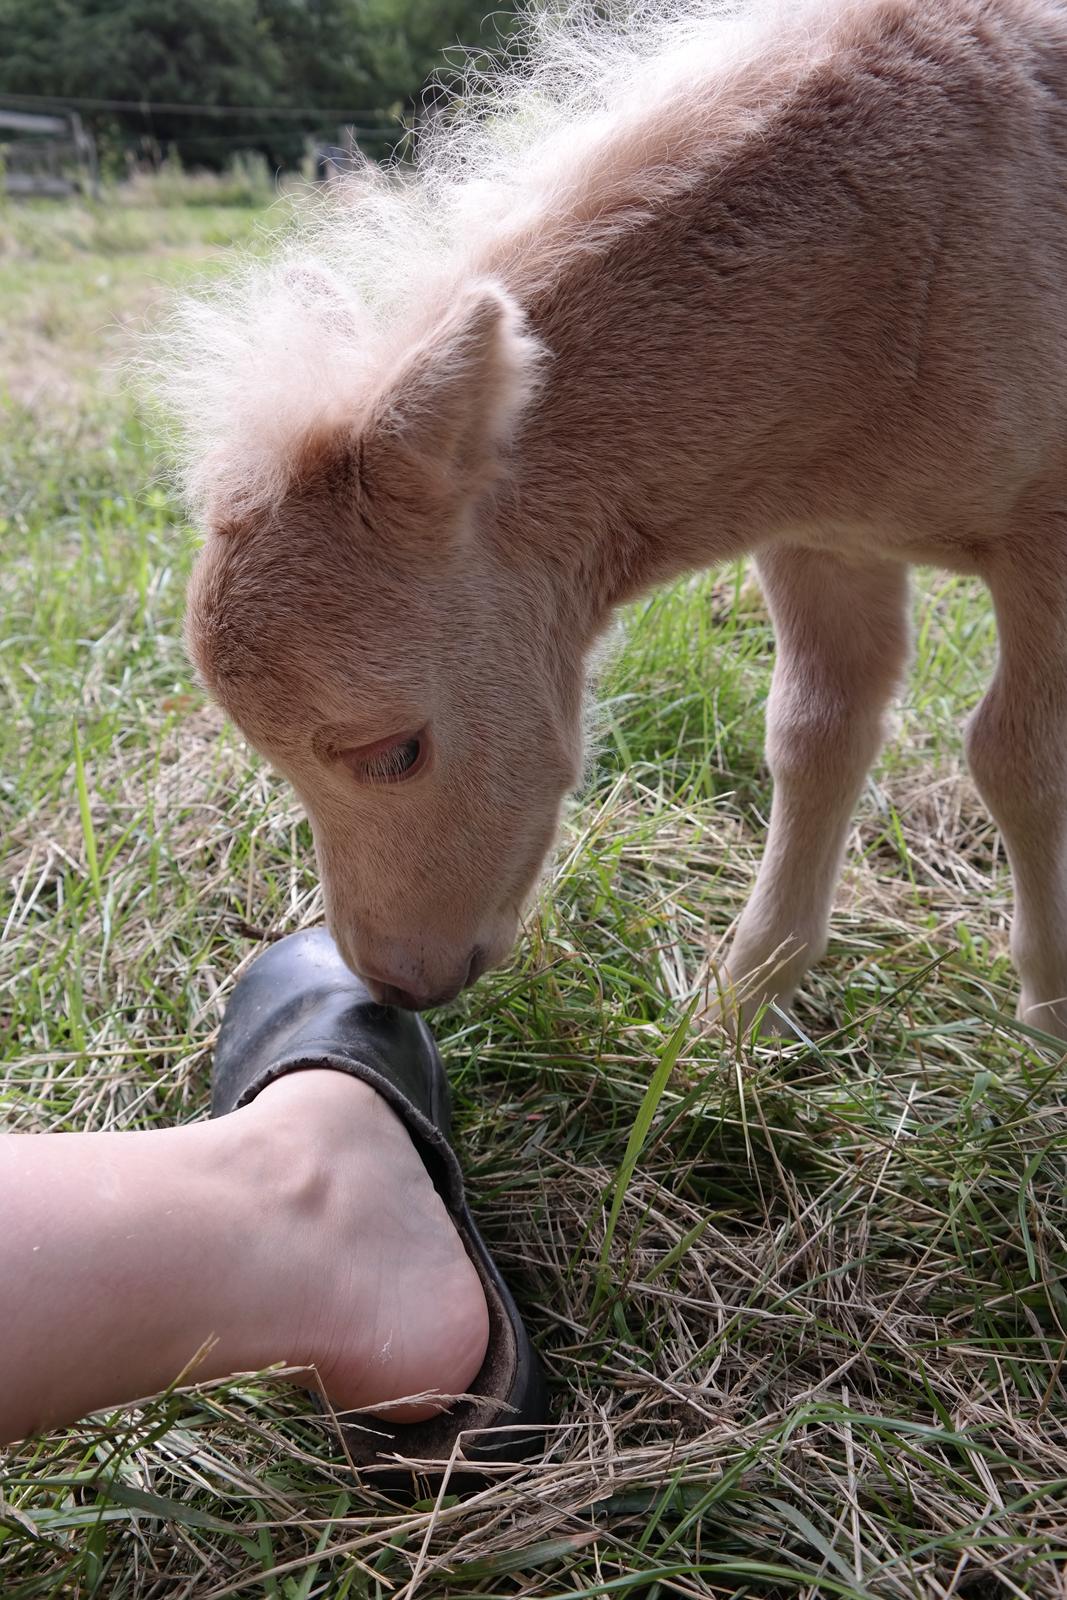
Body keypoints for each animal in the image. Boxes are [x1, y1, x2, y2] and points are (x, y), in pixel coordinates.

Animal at [163, 0, 1067, 1036]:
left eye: (395, 751)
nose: (392, 981)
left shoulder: (1048, 534)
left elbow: (1020, 759)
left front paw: (1051, 1012)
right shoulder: (824, 540)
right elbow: (814, 733)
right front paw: (740, 1008)